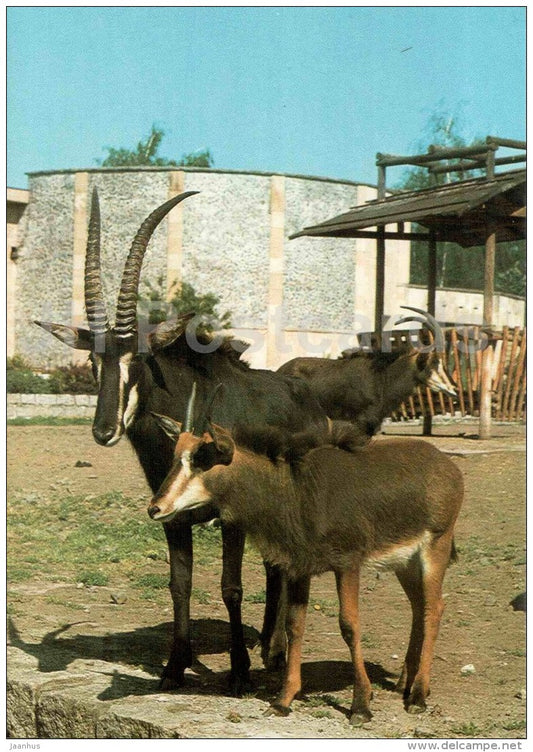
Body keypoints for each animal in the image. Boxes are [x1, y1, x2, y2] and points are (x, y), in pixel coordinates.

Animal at [34, 189, 328, 695]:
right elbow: (180, 584)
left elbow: (231, 587)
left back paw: (272, 654)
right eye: (93, 361)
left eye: (138, 358)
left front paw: (237, 673)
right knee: (275, 564)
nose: (104, 431)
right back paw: (268, 649)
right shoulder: (171, 516)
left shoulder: (231, 517)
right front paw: (174, 667)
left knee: (281, 564)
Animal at [148, 387, 464, 724]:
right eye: (175, 457)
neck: (294, 490)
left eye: (202, 459)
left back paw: (418, 695)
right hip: (405, 562)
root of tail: (448, 467)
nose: (156, 508)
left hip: (436, 547)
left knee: (434, 609)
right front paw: (283, 699)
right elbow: (294, 626)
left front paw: (361, 705)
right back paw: (405, 681)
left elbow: (349, 625)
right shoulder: (299, 569)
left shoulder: (347, 563)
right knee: (419, 607)